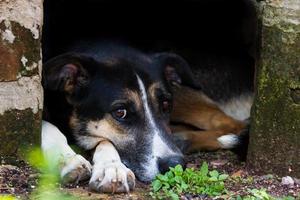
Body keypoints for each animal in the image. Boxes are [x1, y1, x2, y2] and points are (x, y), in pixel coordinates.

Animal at [41, 41, 250, 193]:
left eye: (166, 105)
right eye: (120, 112)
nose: (175, 164)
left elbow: (105, 140)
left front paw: (111, 167)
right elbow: (49, 128)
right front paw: (70, 159)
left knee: (230, 123)